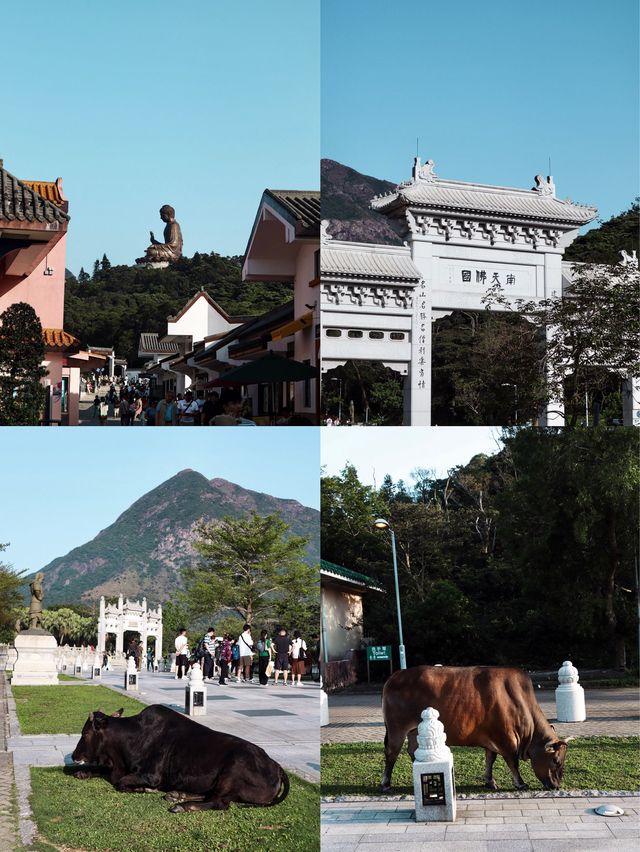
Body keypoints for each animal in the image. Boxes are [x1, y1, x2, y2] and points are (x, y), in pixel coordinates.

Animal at [66, 704, 288, 816]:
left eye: (85, 733)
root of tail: (275, 765)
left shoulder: (150, 776)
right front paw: (82, 772)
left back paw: (181, 805)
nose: (74, 756)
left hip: (233, 769)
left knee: (220, 803)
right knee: (210, 795)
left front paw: (144, 790)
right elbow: (102, 772)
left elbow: (121, 782)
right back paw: (177, 794)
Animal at [382, 664, 568, 792]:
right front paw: (520, 783)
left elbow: (490, 760)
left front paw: (490, 781)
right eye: (556, 760)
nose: (557, 786)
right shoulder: (506, 739)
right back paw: (386, 784)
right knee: (391, 753)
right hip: (397, 729)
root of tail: (396, 674)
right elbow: (512, 763)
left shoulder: (492, 740)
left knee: (412, 750)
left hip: (414, 731)